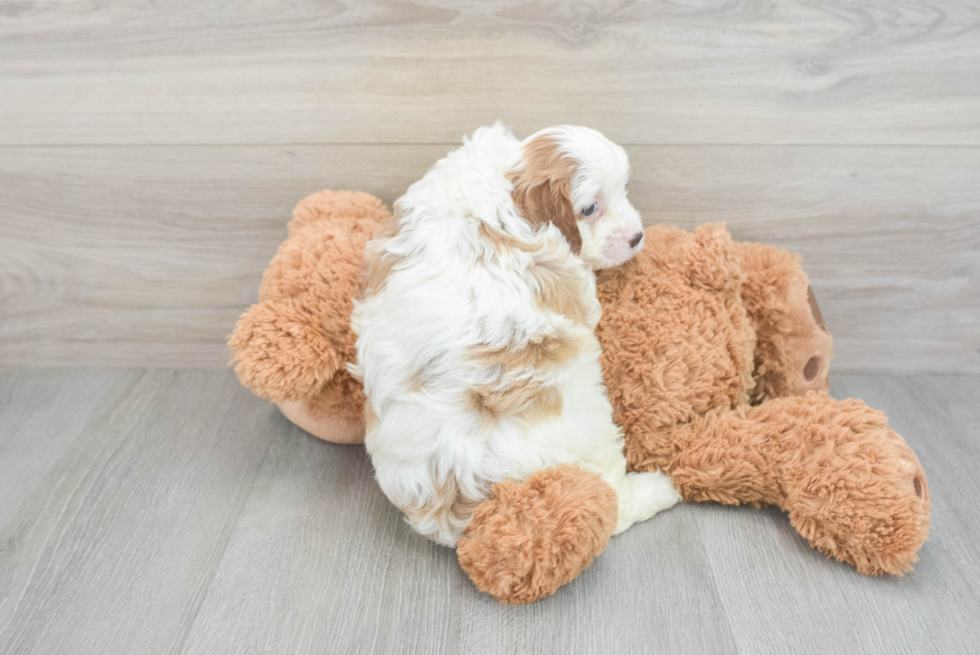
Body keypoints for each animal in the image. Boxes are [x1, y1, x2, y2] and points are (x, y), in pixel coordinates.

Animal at [352, 123, 680, 548]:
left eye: (624, 189)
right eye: (589, 209)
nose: (637, 236)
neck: (505, 183)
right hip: (589, 434)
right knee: (613, 503)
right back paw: (659, 489)